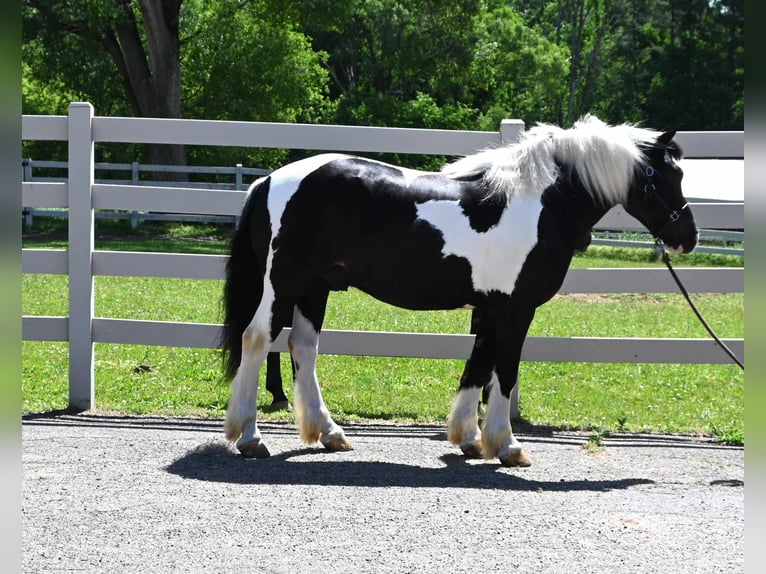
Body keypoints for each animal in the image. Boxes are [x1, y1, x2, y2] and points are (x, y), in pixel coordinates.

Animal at [221, 115, 698, 467]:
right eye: (668, 175)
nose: (688, 238)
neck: (539, 203)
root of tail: (268, 181)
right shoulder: (516, 309)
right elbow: (504, 370)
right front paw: (508, 445)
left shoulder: (491, 307)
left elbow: (477, 366)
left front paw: (469, 438)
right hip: (284, 284)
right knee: (256, 338)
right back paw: (250, 437)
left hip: (315, 288)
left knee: (303, 347)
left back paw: (330, 433)